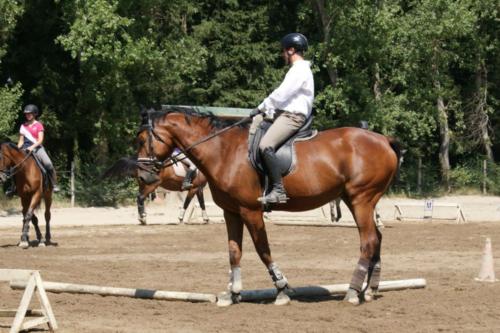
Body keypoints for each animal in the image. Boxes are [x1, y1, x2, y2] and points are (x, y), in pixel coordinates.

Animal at [111, 107, 400, 306]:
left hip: (361, 199)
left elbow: (263, 250)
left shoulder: (251, 211)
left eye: (141, 140)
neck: (223, 150)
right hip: (357, 200)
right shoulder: (231, 212)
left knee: (368, 241)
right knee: (377, 238)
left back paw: (352, 291)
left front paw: (282, 289)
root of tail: (384, 140)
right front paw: (232, 293)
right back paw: (370, 290)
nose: (144, 177)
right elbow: (234, 252)